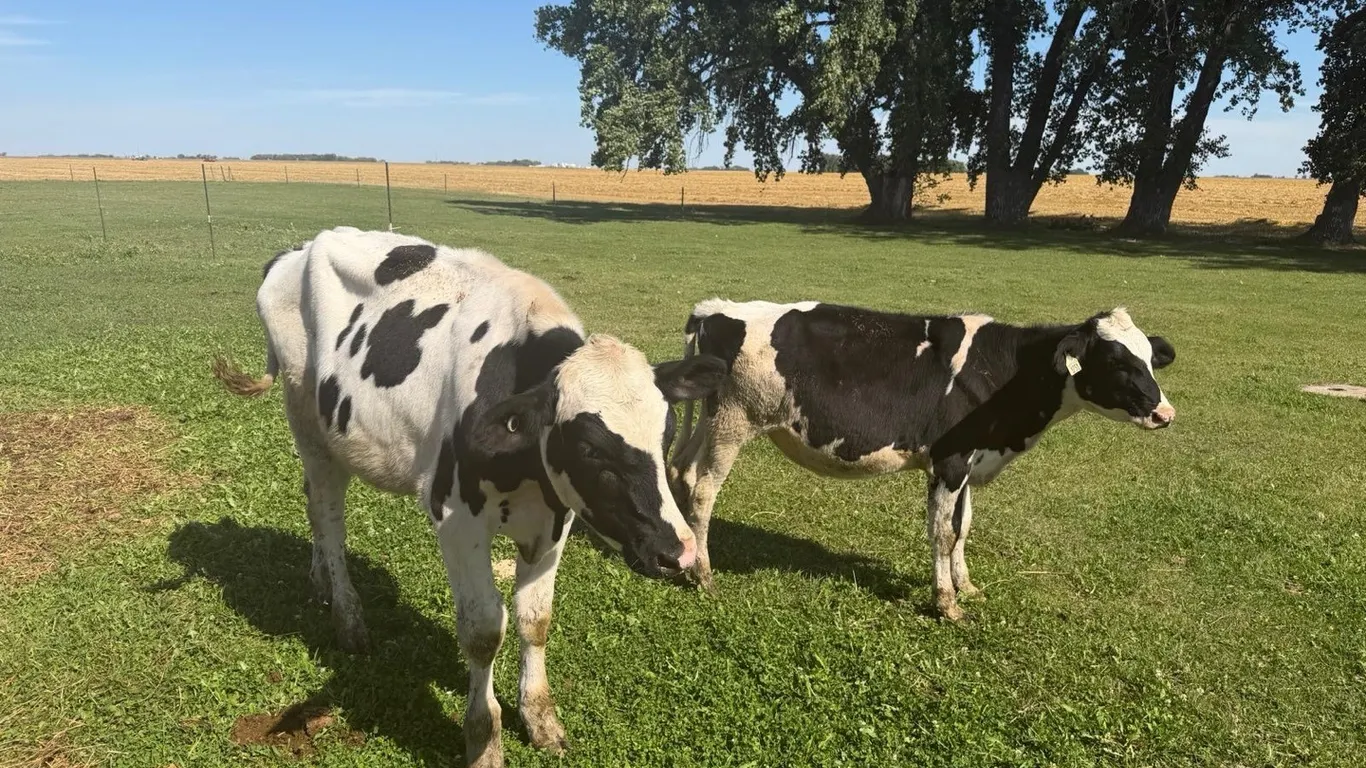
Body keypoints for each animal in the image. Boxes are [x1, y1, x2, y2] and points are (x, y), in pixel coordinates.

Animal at [213, 227, 726, 768]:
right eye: (590, 447)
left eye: (666, 431)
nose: (678, 552)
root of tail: (299, 249)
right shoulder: (457, 521)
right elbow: (483, 633)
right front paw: (483, 739)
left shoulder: (556, 520)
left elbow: (534, 619)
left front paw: (540, 718)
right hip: (309, 423)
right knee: (328, 514)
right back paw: (348, 617)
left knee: (313, 503)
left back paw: (320, 583)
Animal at [668, 299, 1177, 622]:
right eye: (1116, 362)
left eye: (1150, 360)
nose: (1165, 413)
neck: (1003, 371)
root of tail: (716, 309)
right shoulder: (949, 460)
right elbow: (943, 533)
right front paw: (947, 603)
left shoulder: (970, 462)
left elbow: (963, 527)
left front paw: (967, 585)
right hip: (732, 423)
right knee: (703, 490)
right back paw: (705, 576)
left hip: (709, 423)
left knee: (679, 472)